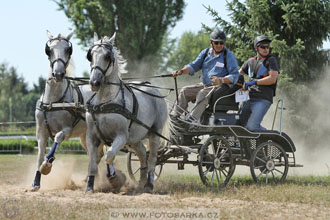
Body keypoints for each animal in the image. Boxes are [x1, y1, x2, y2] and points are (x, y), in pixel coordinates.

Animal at [31, 31, 104, 191]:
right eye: (49, 50)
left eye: (67, 50)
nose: (58, 74)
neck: (53, 102)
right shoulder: (41, 133)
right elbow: (39, 156)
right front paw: (36, 182)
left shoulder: (67, 129)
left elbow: (57, 138)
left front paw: (47, 164)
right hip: (84, 137)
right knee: (95, 155)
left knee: (100, 154)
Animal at [85, 32, 168, 192]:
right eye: (90, 55)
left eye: (107, 56)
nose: (94, 83)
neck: (106, 102)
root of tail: (155, 91)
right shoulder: (92, 137)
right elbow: (92, 162)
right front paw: (89, 186)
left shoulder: (121, 136)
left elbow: (109, 155)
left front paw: (115, 179)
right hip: (134, 138)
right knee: (142, 154)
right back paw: (141, 182)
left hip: (154, 133)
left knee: (152, 158)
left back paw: (149, 184)